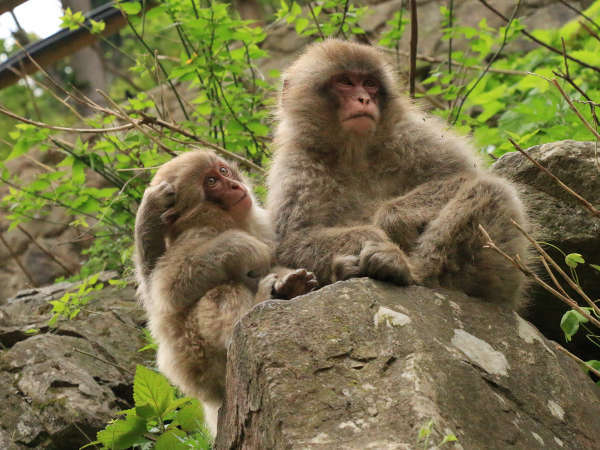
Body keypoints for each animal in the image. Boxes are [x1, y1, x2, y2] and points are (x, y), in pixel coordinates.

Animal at [134, 149, 316, 434]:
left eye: (223, 171)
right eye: (211, 182)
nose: (233, 185)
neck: (225, 219)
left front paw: (289, 281)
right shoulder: (194, 236)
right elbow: (168, 288)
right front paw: (246, 247)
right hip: (196, 356)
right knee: (221, 290)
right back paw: (244, 323)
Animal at [270, 38, 528, 308]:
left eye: (370, 84)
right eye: (346, 82)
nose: (364, 99)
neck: (354, 152)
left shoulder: (412, 135)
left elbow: (464, 175)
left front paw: (390, 221)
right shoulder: (296, 167)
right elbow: (293, 240)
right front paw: (368, 235)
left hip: (500, 275)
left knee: (491, 190)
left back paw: (409, 271)